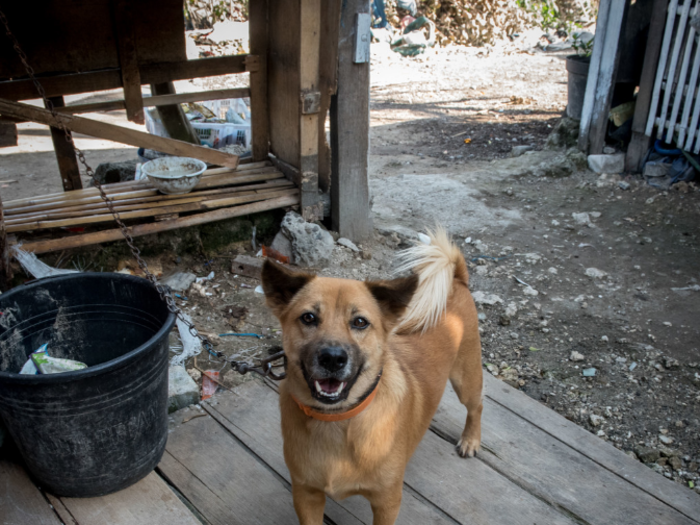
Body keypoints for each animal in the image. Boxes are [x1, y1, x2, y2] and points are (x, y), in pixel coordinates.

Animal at [262, 229, 482, 524]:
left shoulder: (387, 501)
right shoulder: (306, 495)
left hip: (466, 379)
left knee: (476, 406)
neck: (337, 421)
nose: (333, 358)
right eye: (308, 318)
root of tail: (456, 279)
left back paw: (470, 440)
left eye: (360, 322)